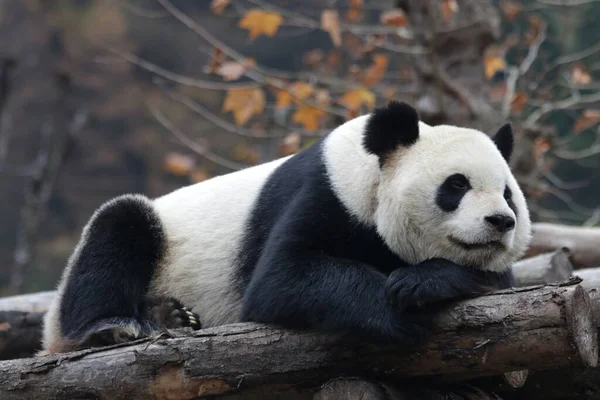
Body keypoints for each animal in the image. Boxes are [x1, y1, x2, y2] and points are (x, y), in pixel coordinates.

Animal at [41, 101, 528, 354]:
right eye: (456, 185)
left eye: (508, 195)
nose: (500, 222)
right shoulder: (326, 193)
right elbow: (283, 278)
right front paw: (398, 311)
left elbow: (494, 281)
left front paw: (420, 283)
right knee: (119, 228)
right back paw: (117, 325)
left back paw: (172, 316)